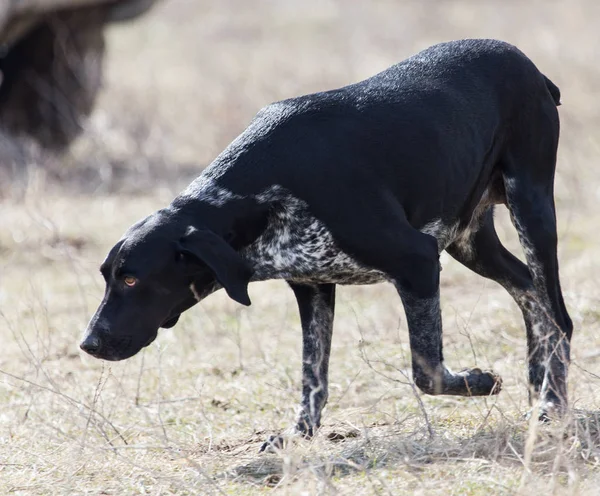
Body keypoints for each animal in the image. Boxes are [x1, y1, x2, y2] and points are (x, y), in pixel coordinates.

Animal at [81, 38, 572, 442]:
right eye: (106, 276)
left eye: (131, 280)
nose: (88, 344)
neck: (260, 194)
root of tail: (529, 64)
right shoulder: (313, 286)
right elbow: (312, 376)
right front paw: (300, 435)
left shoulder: (417, 262)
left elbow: (426, 370)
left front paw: (480, 381)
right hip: (469, 239)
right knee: (529, 295)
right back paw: (540, 388)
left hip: (530, 207)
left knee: (558, 316)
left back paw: (552, 403)